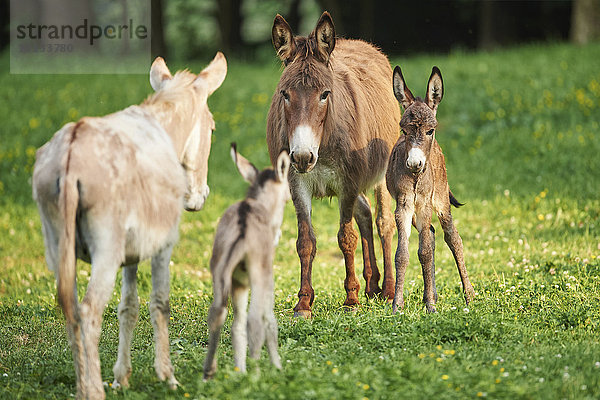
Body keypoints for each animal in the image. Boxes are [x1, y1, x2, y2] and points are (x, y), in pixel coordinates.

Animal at [203, 145, 290, 382]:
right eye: (287, 199)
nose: (277, 235)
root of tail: (242, 229)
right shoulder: (267, 280)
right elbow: (269, 321)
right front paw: (276, 367)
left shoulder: (239, 284)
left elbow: (237, 327)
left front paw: (240, 370)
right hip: (259, 277)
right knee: (255, 320)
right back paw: (256, 374)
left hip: (220, 274)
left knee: (218, 314)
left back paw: (209, 372)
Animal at [386, 65, 476, 314]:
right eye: (404, 131)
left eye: (430, 131)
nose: (414, 163)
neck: (416, 177)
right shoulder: (404, 205)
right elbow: (402, 254)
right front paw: (397, 305)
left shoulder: (425, 203)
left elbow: (424, 252)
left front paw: (430, 307)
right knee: (433, 234)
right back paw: (433, 293)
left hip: (442, 199)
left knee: (452, 237)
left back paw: (469, 296)